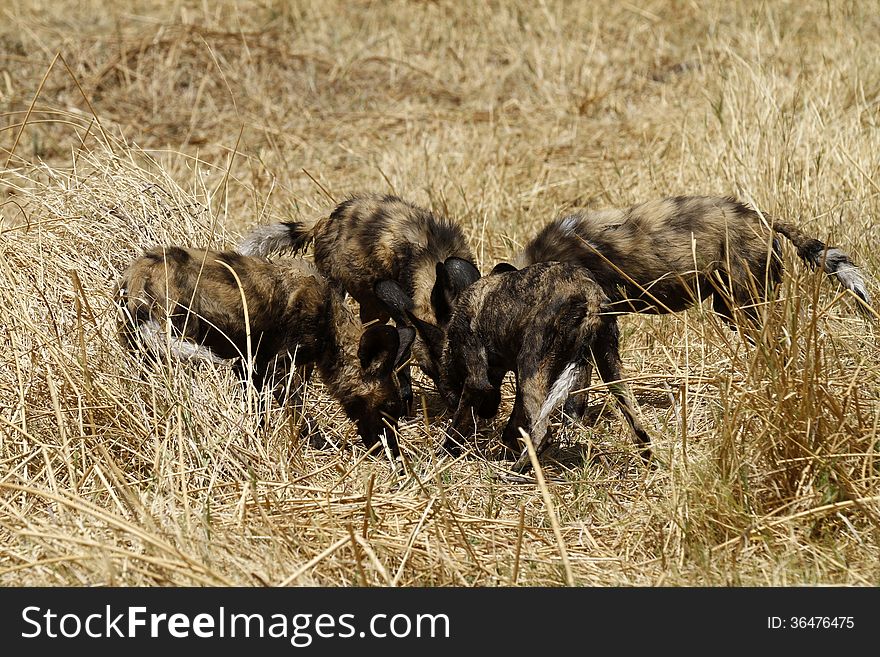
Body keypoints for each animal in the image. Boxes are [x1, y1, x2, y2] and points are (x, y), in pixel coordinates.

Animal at [116, 243, 416, 454]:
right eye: (389, 408)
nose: (392, 452)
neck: (330, 325)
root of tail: (139, 274)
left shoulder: (250, 368)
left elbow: (257, 412)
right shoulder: (280, 370)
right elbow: (301, 417)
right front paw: (321, 445)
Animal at [237, 192, 482, 402]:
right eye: (427, 370)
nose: (454, 401)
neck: (433, 256)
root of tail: (328, 218)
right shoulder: (398, 300)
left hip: (374, 308)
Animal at [382, 260, 648, 472]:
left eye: (435, 375)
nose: (487, 412)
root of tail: (590, 295)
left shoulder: (477, 380)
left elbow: (457, 427)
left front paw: (442, 453)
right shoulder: (514, 378)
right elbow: (511, 426)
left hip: (531, 365)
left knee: (542, 434)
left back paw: (516, 472)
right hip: (609, 371)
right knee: (639, 429)